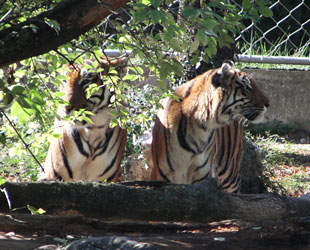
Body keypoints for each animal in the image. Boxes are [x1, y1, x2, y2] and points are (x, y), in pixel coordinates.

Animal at [150, 59, 268, 192]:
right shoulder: (161, 175)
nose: (268, 103)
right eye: (247, 87)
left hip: (229, 173)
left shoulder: (202, 176)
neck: (200, 127)